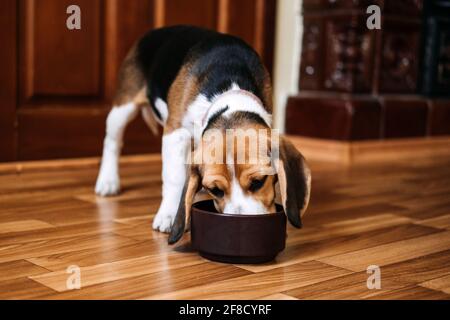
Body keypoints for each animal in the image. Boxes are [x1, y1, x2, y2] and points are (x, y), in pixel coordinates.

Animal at [96, 25, 310, 242]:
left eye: (259, 182)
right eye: (215, 190)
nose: (241, 227)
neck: (229, 92)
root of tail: (156, 30)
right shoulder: (175, 133)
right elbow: (173, 178)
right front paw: (169, 214)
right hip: (123, 108)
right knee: (112, 142)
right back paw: (108, 181)